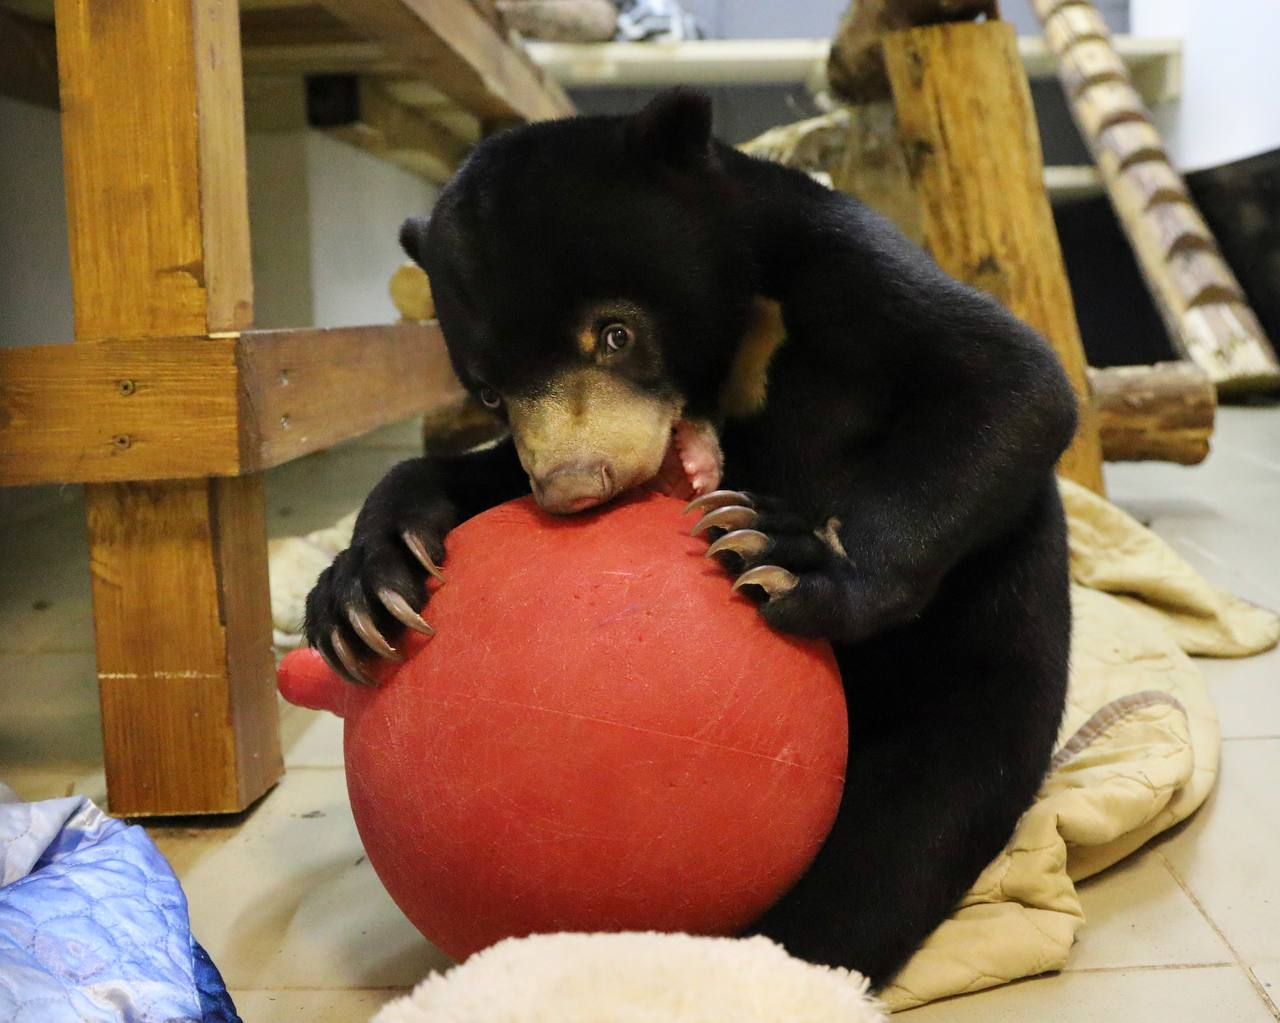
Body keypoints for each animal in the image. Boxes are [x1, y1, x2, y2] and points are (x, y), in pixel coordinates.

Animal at [304, 92, 1075, 988]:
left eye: (615, 333)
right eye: (489, 391)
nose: (573, 486)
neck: (735, 347)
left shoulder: (838, 260)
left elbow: (1011, 377)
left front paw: (785, 554)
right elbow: (464, 476)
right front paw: (360, 594)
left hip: (984, 673)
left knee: (904, 837)